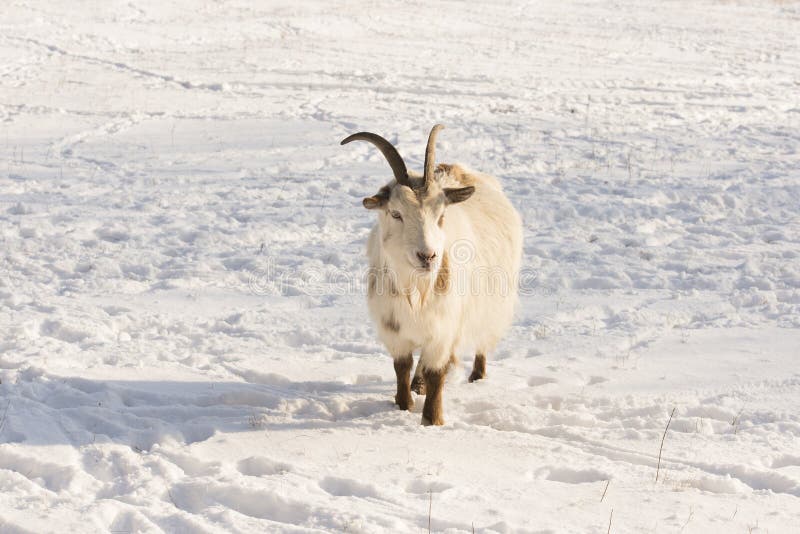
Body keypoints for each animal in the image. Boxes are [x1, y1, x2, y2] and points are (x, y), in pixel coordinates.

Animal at [341, 125, 522, 425]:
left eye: (441, 214)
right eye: (396, 213)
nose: (427, 256)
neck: (416, 289)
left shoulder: (442, 327)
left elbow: (436, 372)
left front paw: (432, 420)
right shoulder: (394, 327)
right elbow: (402, 367)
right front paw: (403, 403)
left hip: (491, 302)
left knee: (482, 338)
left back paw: (477, 375)